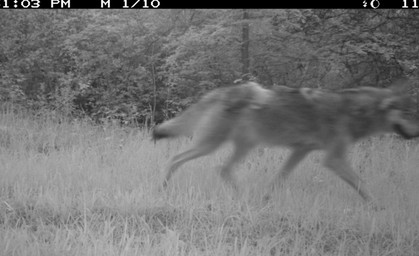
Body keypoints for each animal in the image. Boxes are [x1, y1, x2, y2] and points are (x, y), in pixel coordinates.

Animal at [153, 80, 419, 204]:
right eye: (407, 114)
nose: (416, 134)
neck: (354, 112)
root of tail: (223, 91)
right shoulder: (333, 159)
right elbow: (362, 184)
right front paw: (378, 206)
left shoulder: (300, 150)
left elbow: (279, 179)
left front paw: (265, 200)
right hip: (211, 145)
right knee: (176, 158)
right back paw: (161, 189)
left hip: (242, 146)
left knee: (223, 169)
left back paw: (243, 197)